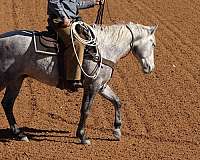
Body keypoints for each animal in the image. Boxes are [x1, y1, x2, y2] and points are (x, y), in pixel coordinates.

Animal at [0, 21, 156, 144]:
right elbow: (86, 109)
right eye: (153, 44)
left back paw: (20, 134)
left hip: (16, 80)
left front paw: (117, 131)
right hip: (6, 79)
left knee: (7, 104)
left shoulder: (101, 86)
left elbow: (117, 101)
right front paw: (82, 136)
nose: (150, 67)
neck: (103, 48)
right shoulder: (92, 86)